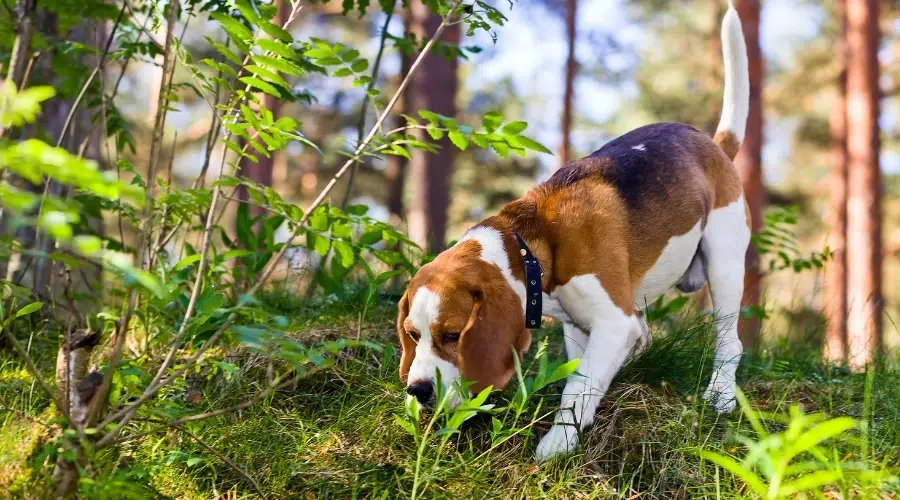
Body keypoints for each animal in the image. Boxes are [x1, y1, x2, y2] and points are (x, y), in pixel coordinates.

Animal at [398, 5, 748, 462]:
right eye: (413, 335)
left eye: (453, 335)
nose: (417, 390)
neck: (533, 246)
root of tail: (715, 145)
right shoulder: (579, 328)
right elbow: (581, 377)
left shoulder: (612, 323)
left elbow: (578, 388)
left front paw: (558, 443)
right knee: (646, 337)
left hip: (724, 265)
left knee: (729, 341)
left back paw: (720, 394)